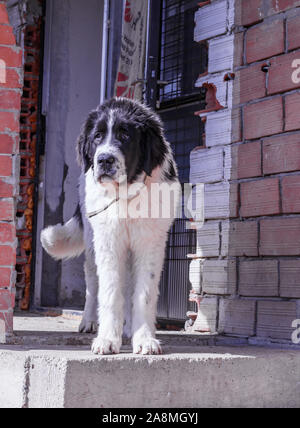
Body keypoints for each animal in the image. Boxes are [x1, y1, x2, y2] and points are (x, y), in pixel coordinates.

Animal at [39, 97, 180, 354]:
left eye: (125, 135)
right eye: (97, 136)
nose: (104, 159)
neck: (127, 194)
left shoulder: (150, 242)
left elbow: (143, 293)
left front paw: (144, 339)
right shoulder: (108, 242)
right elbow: (111, 291)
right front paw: (107, 339)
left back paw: (129, 329)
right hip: (92, 243)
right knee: (93, 282)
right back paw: (88, 322)